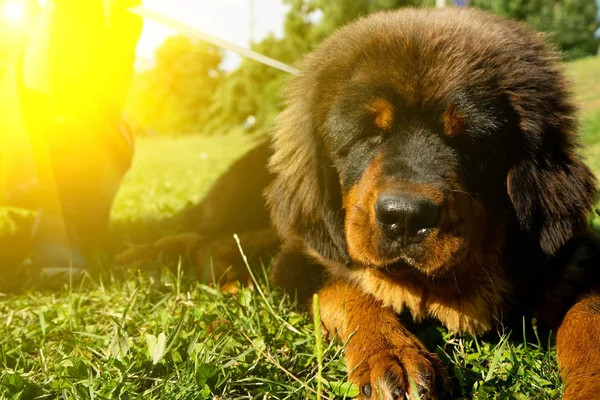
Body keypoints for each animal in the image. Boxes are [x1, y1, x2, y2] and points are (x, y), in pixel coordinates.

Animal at [266, 7, 600, 400]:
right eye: (369, 133)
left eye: (468, 141)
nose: (406, 217)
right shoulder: (301, 257)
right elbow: (347, 289)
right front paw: (390, 353)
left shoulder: (575, 259)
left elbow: (588, 315)